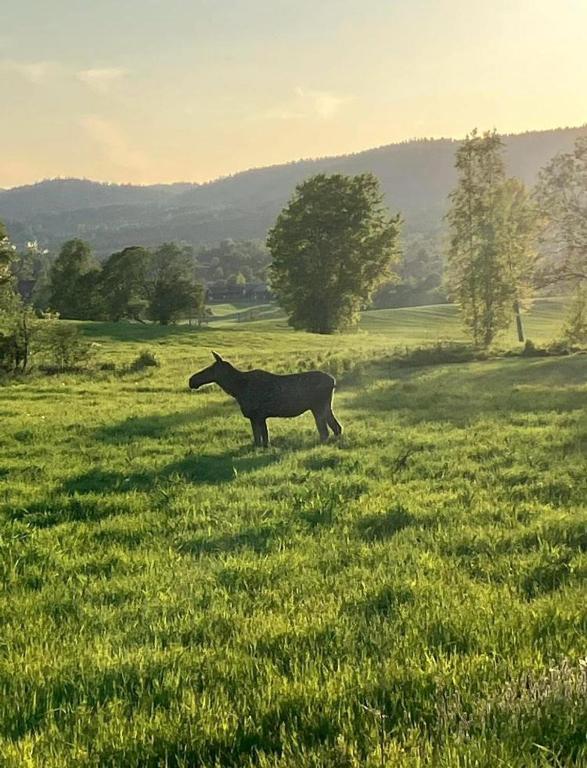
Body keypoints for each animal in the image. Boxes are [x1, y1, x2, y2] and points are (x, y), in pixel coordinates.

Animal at [188, 352, 343, 447]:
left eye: (211, 368)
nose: (191, 380)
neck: (237, 390)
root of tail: (333, 381)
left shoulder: (260, 415)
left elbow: (264, 439)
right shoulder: (254, 417)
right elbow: (258, 439)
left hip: (318, 407)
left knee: (325, 431)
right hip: (326, 407)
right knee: (336, 427)